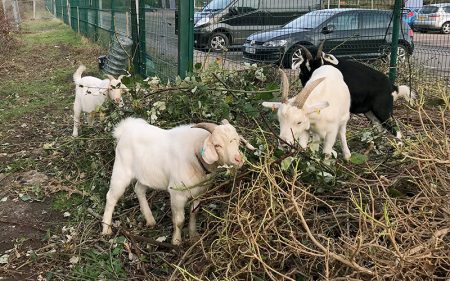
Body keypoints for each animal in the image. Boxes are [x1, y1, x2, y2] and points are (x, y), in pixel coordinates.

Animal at [102, 117, 255, 244]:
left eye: (237, 140)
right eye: (217, 145)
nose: (238, 159)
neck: (195, 155)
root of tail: (125, 129)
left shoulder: (199, 192)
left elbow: (194, 213)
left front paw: (194, 236)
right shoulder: (177, 194)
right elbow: (179, 220)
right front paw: (176, 242)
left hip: (146, 175)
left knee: (139, 189)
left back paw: (150, 220)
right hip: (121, 171)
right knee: (111, 197)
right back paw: (106, 230)